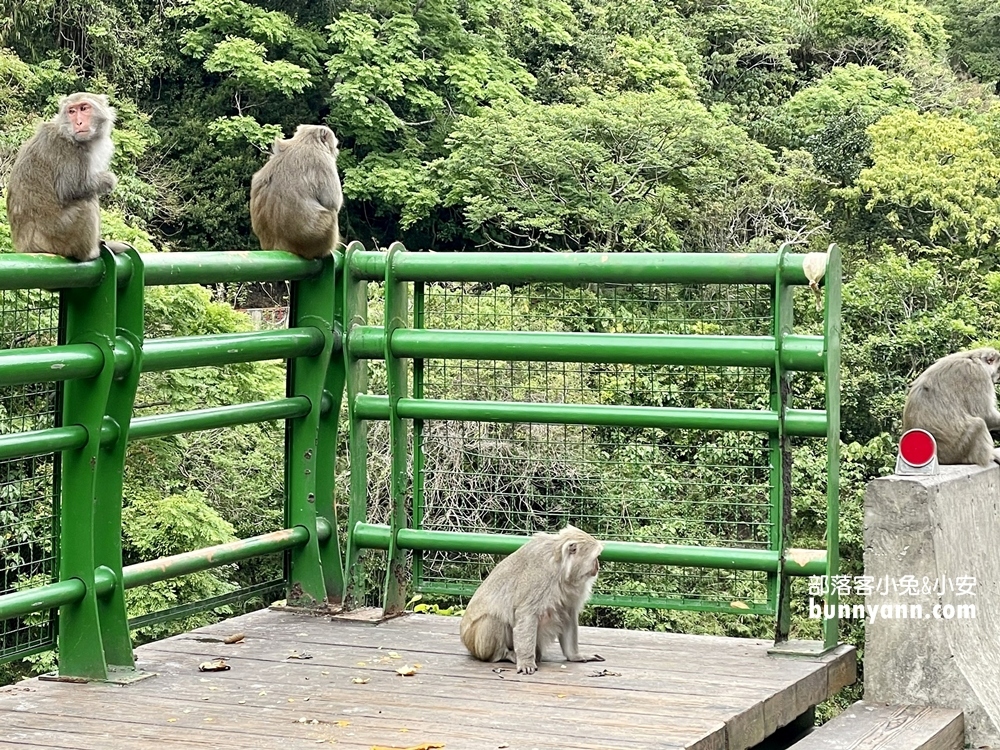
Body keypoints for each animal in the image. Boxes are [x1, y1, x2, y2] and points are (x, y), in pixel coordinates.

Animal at [249, 125, 344, 260]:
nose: (335, 149)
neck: (305, 141)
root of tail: (280, 245)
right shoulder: (323, 161)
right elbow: (332, 202)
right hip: (317, 239)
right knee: (331, 214)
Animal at [458, 524, 604, 680]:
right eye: (595, 557)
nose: (598, 566)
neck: (559, 566)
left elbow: (568, 614)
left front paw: (575, 656)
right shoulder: (540, 579)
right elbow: (527, 615)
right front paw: (526, 661)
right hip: (473, 641)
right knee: (492, 619)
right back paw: (504, 654)